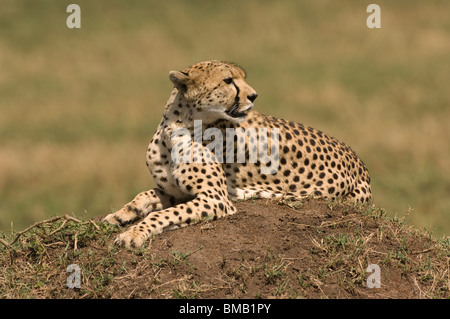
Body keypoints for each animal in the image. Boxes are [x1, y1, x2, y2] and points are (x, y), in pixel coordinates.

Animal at [103, 61, 370, 249]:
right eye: (228, 80)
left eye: (241, 78)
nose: (254, 95)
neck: (177, 126)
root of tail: (360, 162)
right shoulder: (176, 192)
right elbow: (145, 195)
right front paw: (119, 215)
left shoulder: (215, 198)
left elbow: (164, 214)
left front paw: (134, 234)